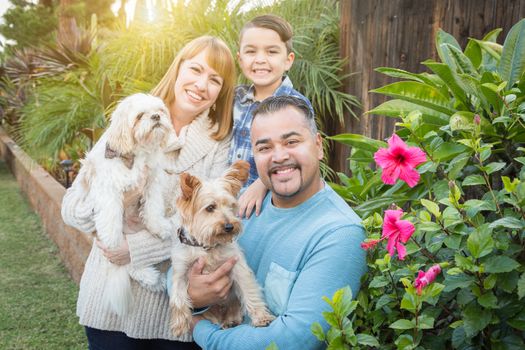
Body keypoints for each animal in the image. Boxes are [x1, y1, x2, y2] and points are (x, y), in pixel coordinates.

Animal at [70, 92, 173, 314]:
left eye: (159, 111)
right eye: (140, 115)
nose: (156, 117)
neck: (135, 156)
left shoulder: (152, 183)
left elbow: (153, 208)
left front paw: (159, 227)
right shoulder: (107, 192)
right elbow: (111, 226)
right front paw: (114, 245)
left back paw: (154, 280)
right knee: (129, 264)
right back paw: (149, 276)